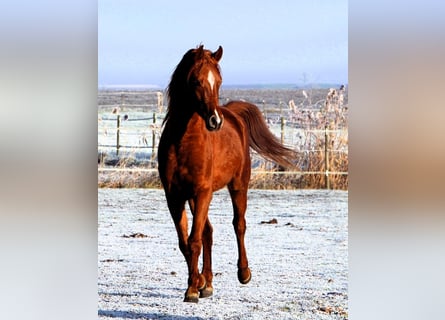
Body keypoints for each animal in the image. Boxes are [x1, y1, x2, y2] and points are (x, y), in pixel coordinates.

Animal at [156, 45, 294, 302]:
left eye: (218, 81)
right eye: (196, 81)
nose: (214, 121)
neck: (184, 143)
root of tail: (232, 113)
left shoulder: (202, 192)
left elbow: (194, 240)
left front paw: (192, 289)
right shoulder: (175, 196)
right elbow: (185, 242)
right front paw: (198, 283)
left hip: (238, 186)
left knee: (238, 225)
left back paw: (244, 272)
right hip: (196, 197)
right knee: (208, 232)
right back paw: (207, 283)